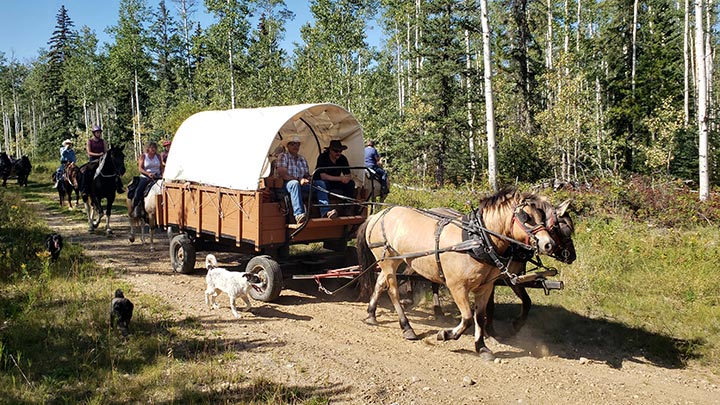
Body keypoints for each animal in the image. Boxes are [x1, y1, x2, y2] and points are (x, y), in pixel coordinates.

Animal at [356, 188, 558, 359]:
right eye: (526, 217)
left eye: (541, 217)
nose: (549, 244)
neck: (477, 240)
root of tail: (377, 215)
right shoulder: (457, 287)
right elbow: (467, 317)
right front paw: (446, 334)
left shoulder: (485, 287)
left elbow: (479, 317)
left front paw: (481, 347)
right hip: (388, 260)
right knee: (393, 293)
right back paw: (407, 327)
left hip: (391, 260)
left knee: (380, 283)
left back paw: (372, 314)